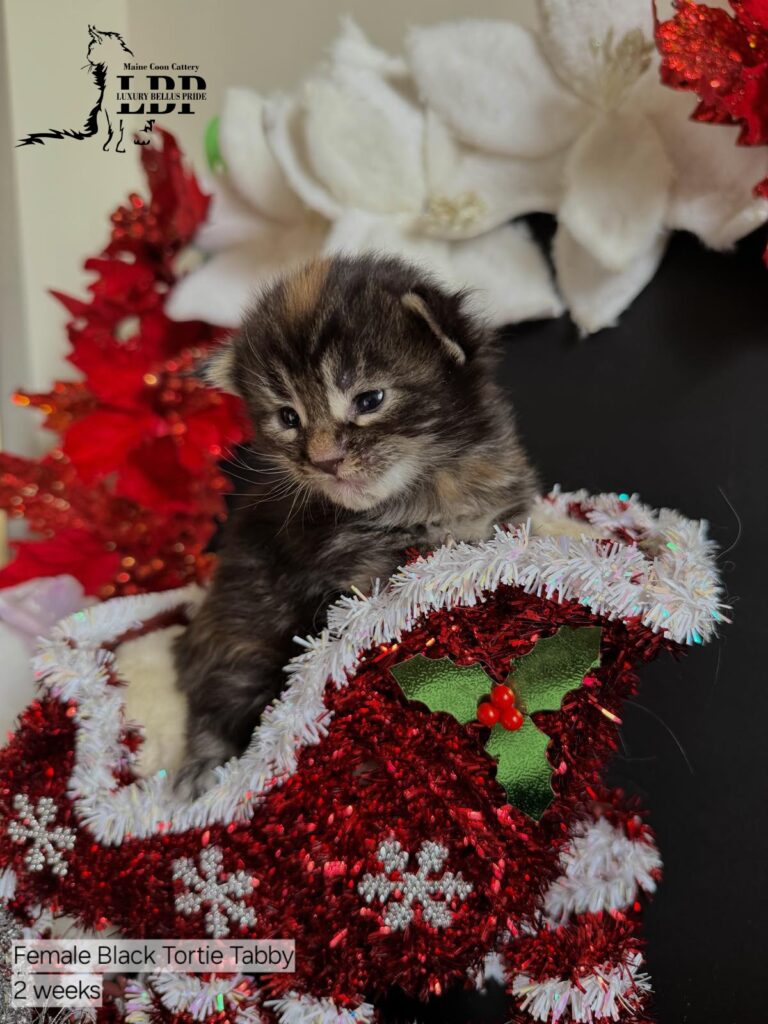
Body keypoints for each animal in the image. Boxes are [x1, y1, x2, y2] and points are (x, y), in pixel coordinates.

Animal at [173, 253, 540, 790]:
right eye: (288, 417)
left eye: (369, 401)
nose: (325, 461)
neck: (431, 489)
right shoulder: (360, 578)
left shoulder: (502, 520)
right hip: (242, 634)